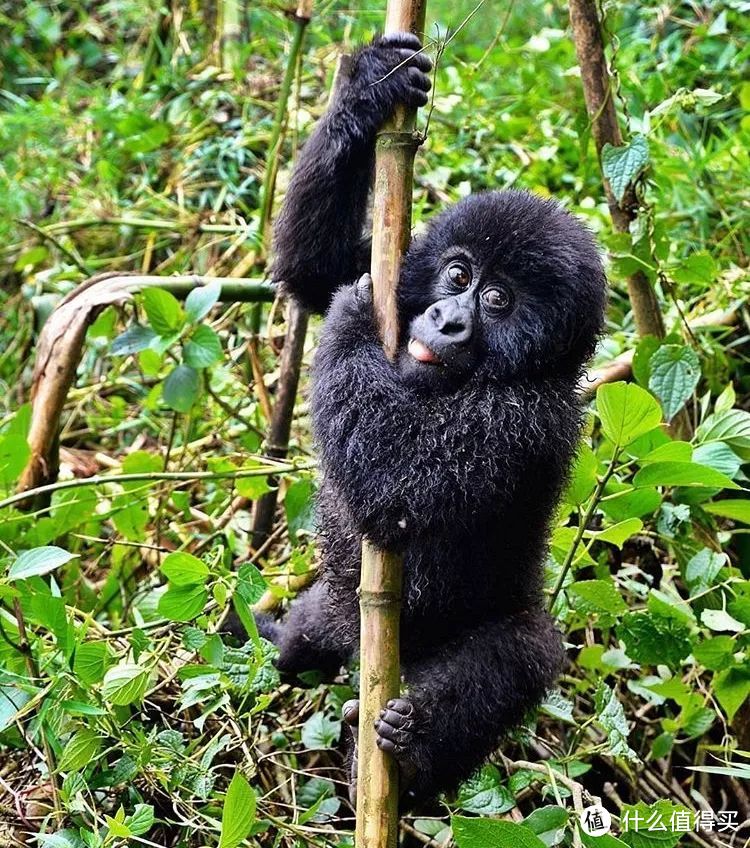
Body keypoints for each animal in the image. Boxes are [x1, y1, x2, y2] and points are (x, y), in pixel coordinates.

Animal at [266, 31, 612, 800]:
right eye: (457, 275)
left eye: (498, 301)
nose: (448, 320)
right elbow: (316, 270)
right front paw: (370, 85)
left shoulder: (529, 419)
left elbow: (393, 490)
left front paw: (355, 315)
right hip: (336, 616)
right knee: (311, 633)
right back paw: (289, 646)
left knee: (528, 649)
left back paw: (415, 746)